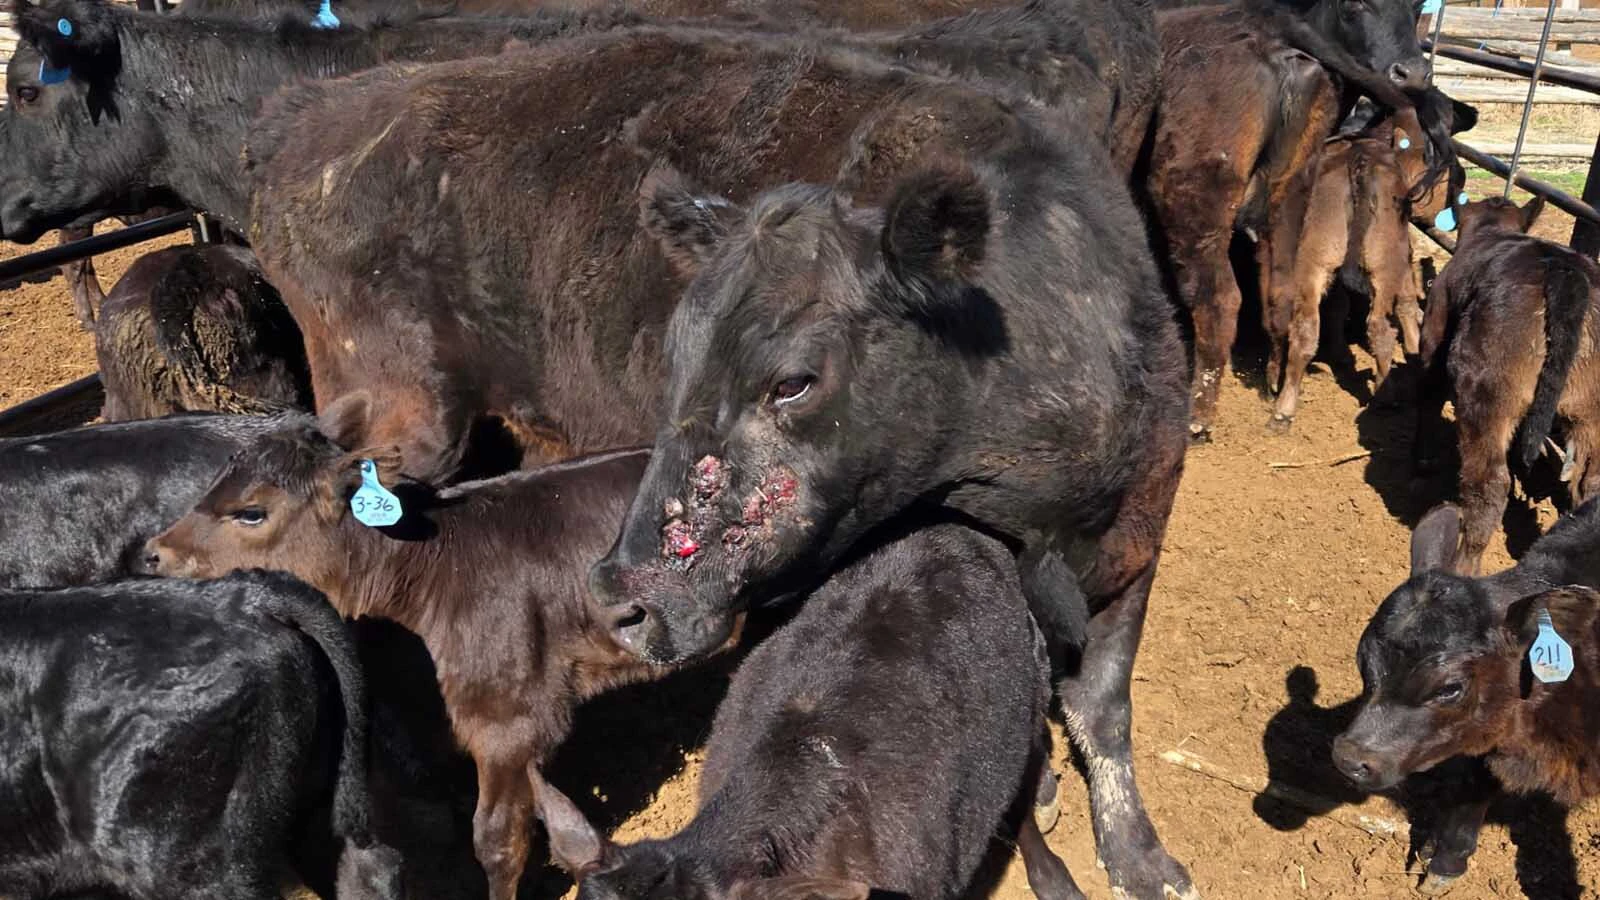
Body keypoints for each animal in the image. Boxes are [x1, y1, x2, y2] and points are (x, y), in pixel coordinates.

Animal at [1149, 0, 1451, 440]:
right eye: (1356, 6)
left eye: (1415, 7)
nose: (1411, 73)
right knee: (1294, 297)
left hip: (1191, 200)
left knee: (1220, 300)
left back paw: (1199, 417)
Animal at [1265, 90, 1475, 429]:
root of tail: (1359, 161)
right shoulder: (1402, 253)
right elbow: (1405, 301)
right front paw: (1413, 347)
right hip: (1383, 263)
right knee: (1379, 328)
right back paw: (1385, 394)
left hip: (1313, 265)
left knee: (1306, 329)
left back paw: (1284, 407)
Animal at [1412, 195, 1600, 575]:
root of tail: (1565, 271)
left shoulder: (1435, 326)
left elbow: (1427, 393)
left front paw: (1422, 461)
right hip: (1591, 409)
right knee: (1588, 480)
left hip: (1485, 392)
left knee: (1490, 484)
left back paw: (1463, 567)